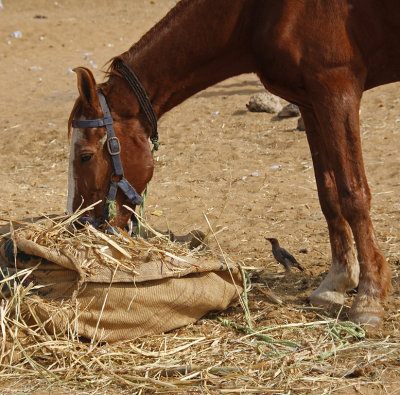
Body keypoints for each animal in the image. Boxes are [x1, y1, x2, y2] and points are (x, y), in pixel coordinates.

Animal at [67, 0, 398, 328]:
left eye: (85, 155)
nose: (77, 224)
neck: (258, 14)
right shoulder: (310, 102)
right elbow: (328, 194)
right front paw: (336, 282)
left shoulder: (336, 90)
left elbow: (352, 194)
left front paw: (368, 297)